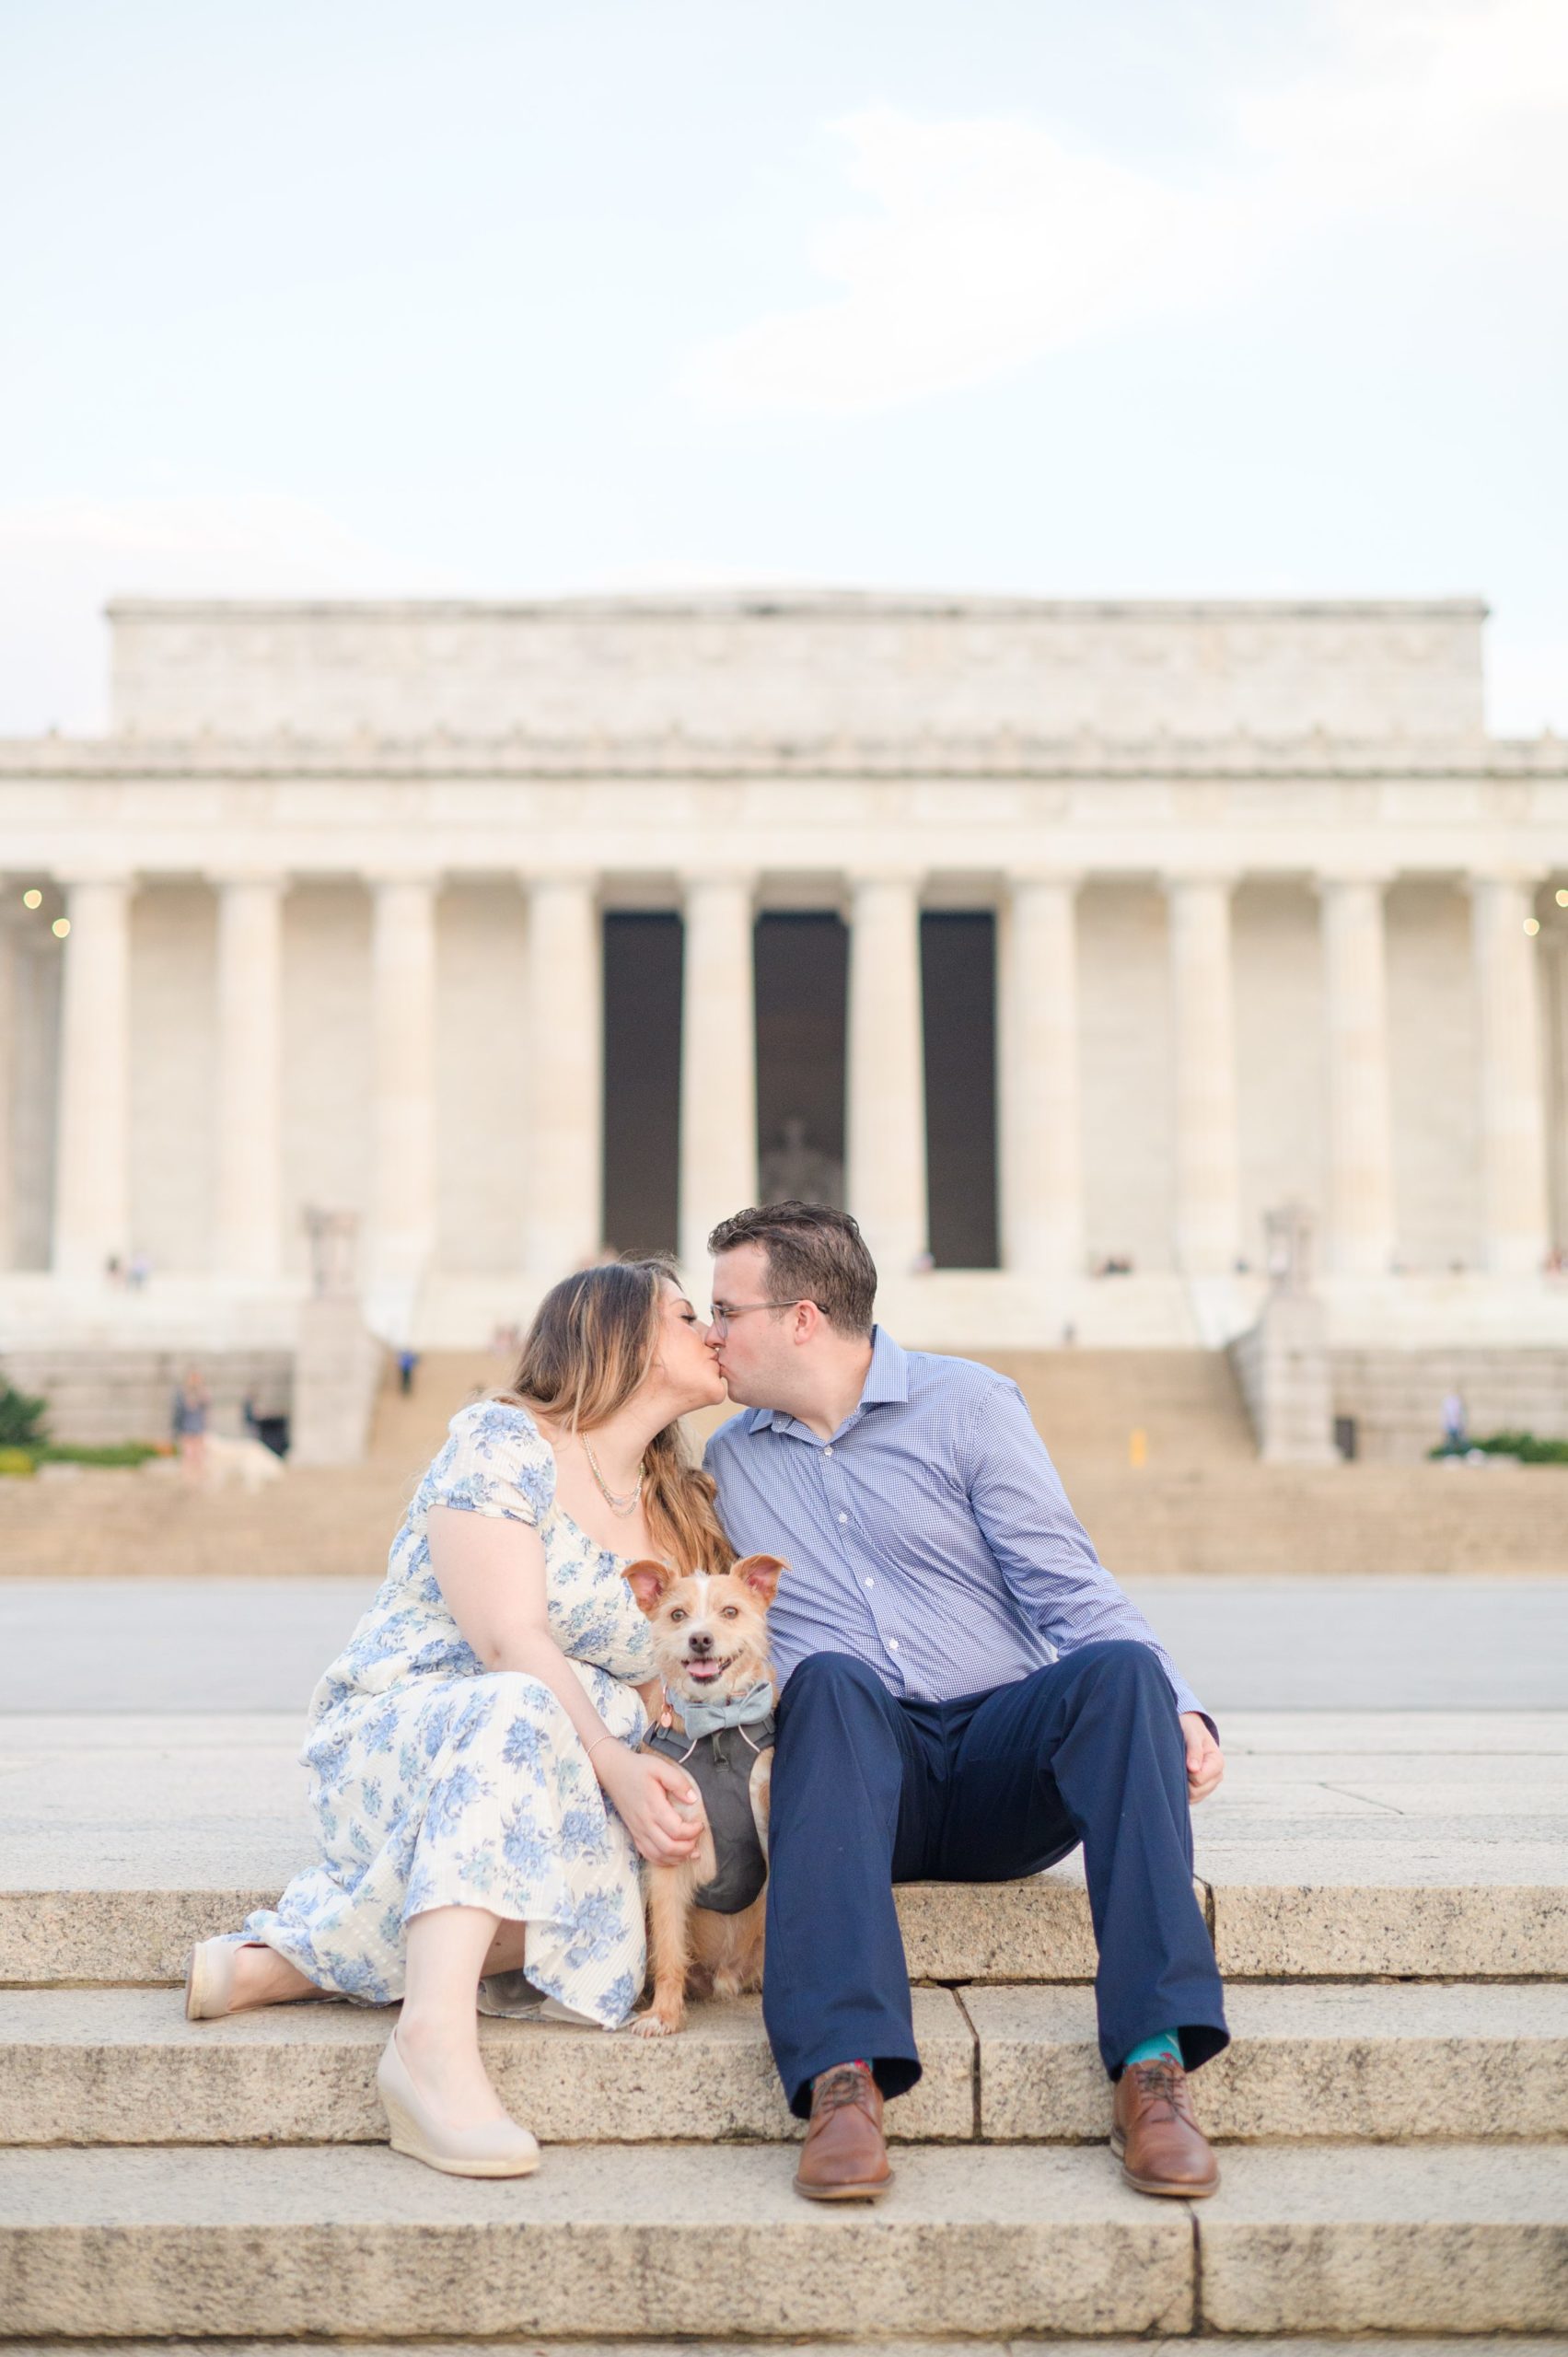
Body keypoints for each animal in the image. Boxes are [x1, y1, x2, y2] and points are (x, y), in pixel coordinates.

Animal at [627, 1555, 787, 2036]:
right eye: (678, 1615)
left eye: (730, 1612)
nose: (700, 1639)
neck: (718, 1725)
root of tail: (728, 1975)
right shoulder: (667, 1856)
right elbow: (668, 1947)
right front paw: (663, 2014)